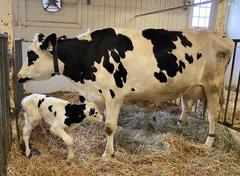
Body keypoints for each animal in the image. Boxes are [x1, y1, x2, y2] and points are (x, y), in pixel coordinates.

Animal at [17, 27, 234, 158]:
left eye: (31, 55)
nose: (18, 75)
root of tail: (221, 36)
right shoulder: (99, 95)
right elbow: (105, 122)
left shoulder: (114, 95)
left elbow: (110, 126)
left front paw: (108, 154)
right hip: (191, 88)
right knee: (187, 107)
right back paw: (181, 124)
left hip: (213, 86)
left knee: (213, 116)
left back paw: (208, 143)